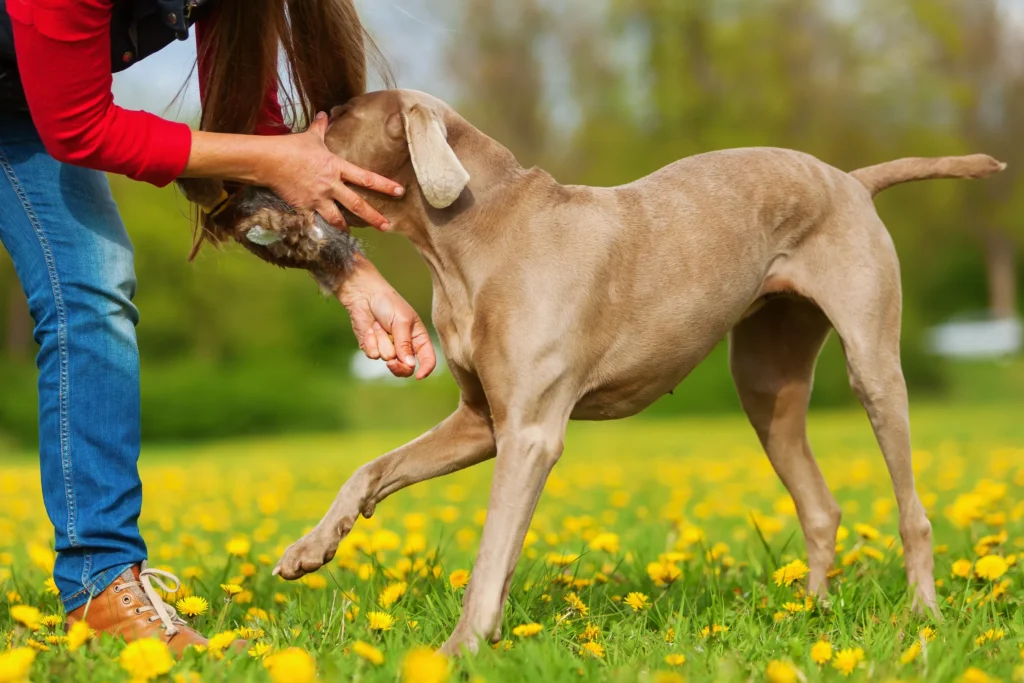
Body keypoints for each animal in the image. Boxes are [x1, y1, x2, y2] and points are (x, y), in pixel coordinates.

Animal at [182, 88, 999, 655]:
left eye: (337, 116)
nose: (232, 181)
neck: (471, 239)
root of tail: (852, 179)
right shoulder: (481, 421)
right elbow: (373, 468)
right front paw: (310, 548)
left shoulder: (532, 432)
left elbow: (490, 549)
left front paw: (459, 647)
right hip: (766, 383)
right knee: (820, 504)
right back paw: (815, 614)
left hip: (872, 362)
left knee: (912, 507)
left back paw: (921, 614)